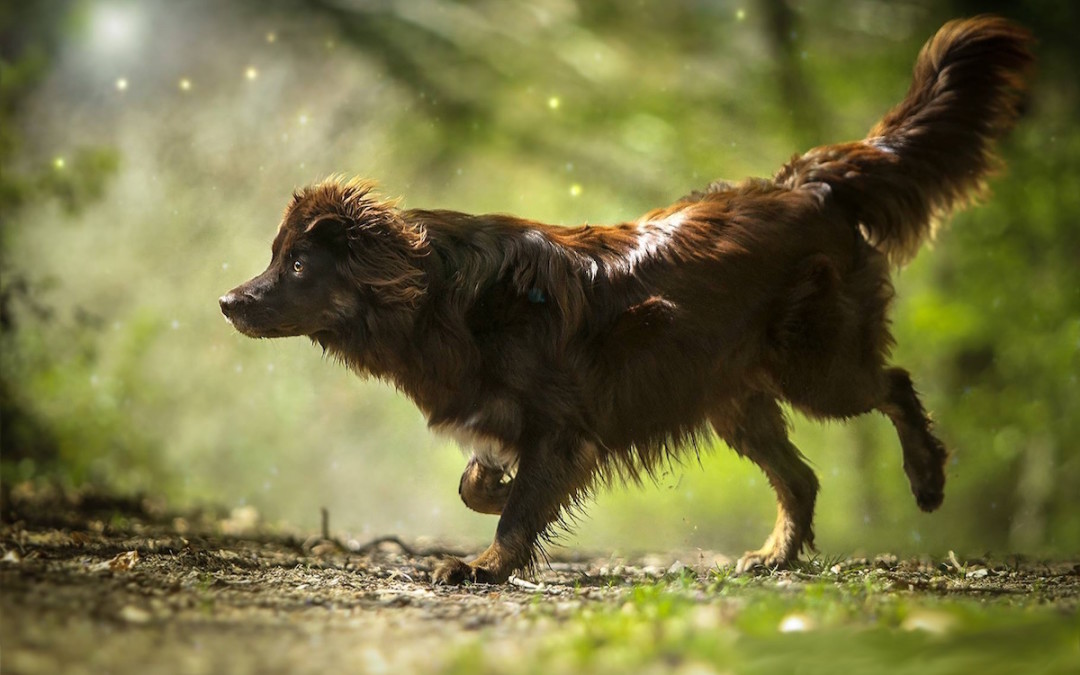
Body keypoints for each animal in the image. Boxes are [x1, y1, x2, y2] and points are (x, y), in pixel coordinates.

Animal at [219, 18, 1028, 583]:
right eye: (275, 256)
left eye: (297, 262)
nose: (227, 301)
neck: (445, 297)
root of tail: (807, 184)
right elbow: (480, 481)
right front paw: (490, 490)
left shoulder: (563, 424)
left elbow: (520, 505)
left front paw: (483, 567)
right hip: (731, 396)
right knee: (802, 476)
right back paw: (775, 556)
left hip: (817, 368)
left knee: (892, 383)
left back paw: (927, 477)